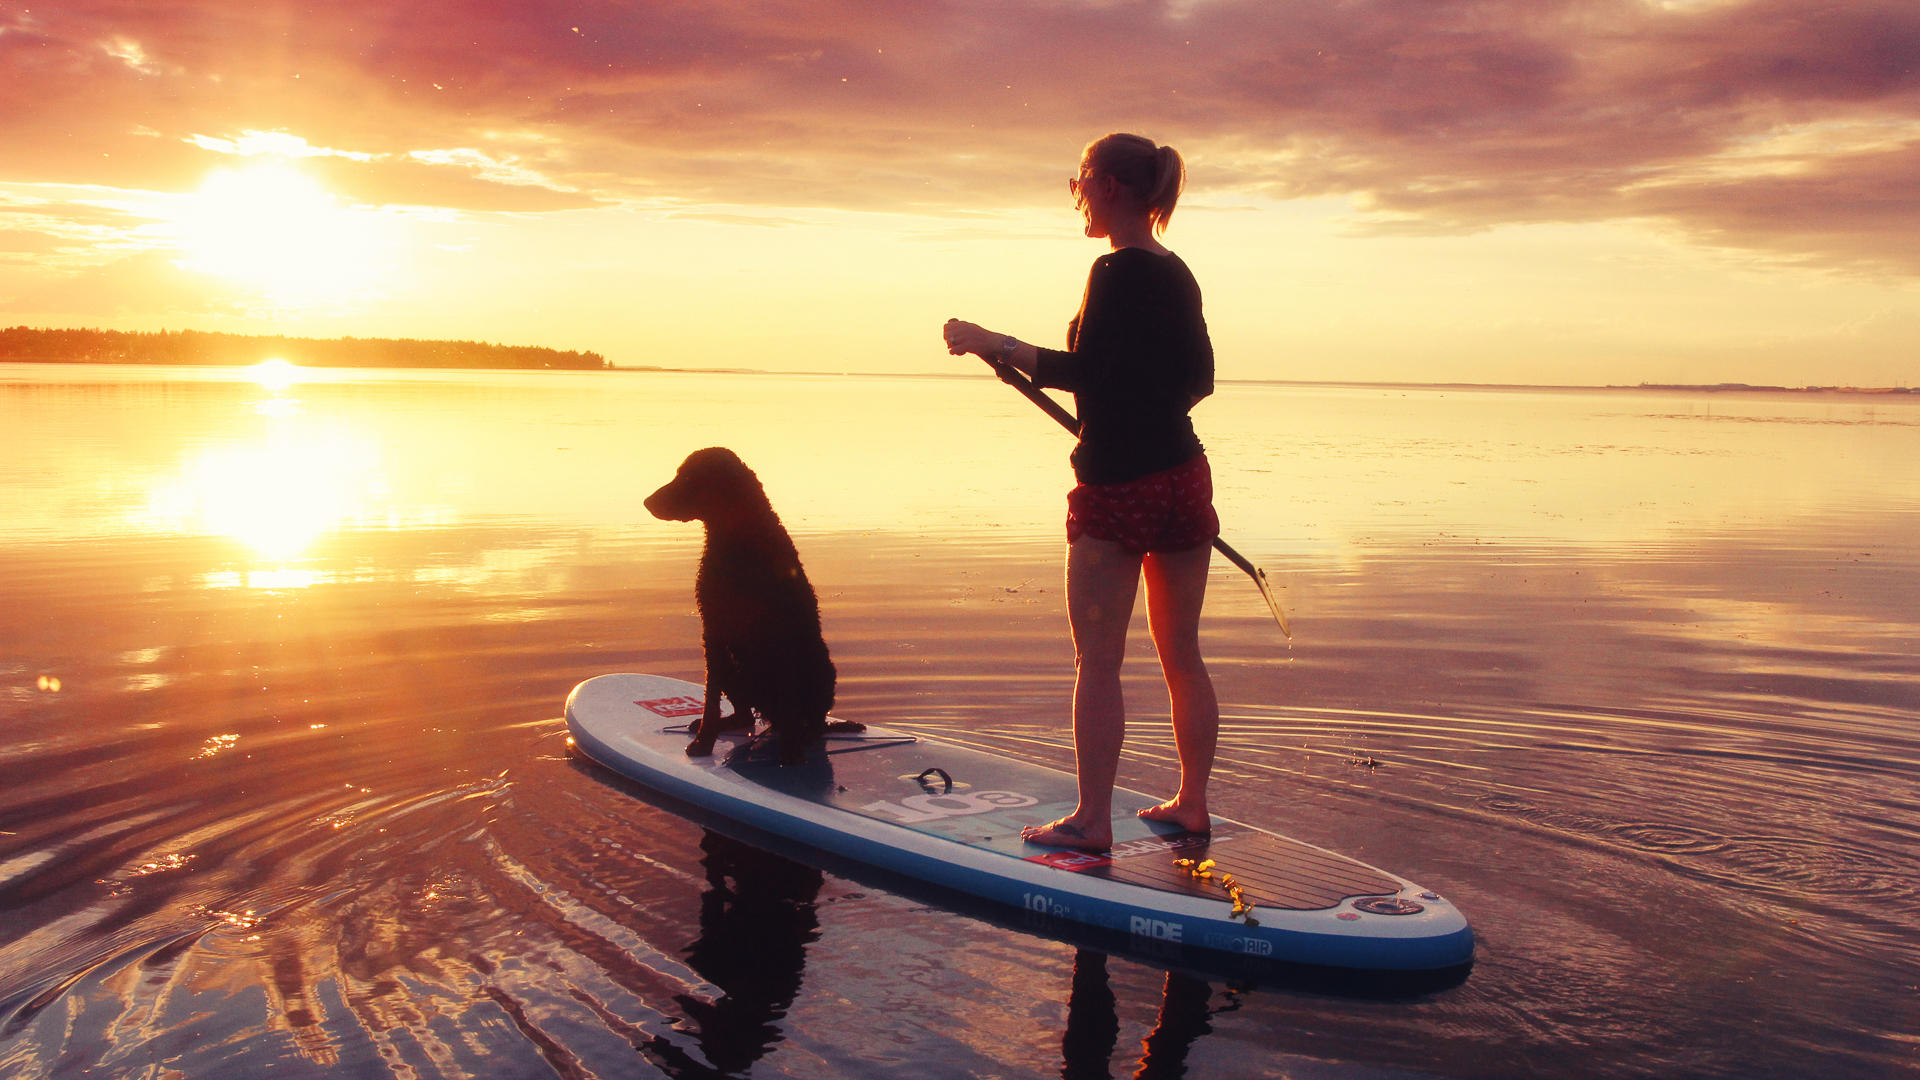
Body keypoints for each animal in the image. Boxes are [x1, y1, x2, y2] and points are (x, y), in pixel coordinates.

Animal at [645, 441, 856, 760]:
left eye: (687, 478)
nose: (647, 501)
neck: (737, 540)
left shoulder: (778, 632)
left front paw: (790, 754)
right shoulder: (713, 629)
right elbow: (710, 701)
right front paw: (704, 741)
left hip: (819, 669)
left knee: (810, 719)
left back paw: (802, 735)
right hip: (734, 668)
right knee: (744, 715)